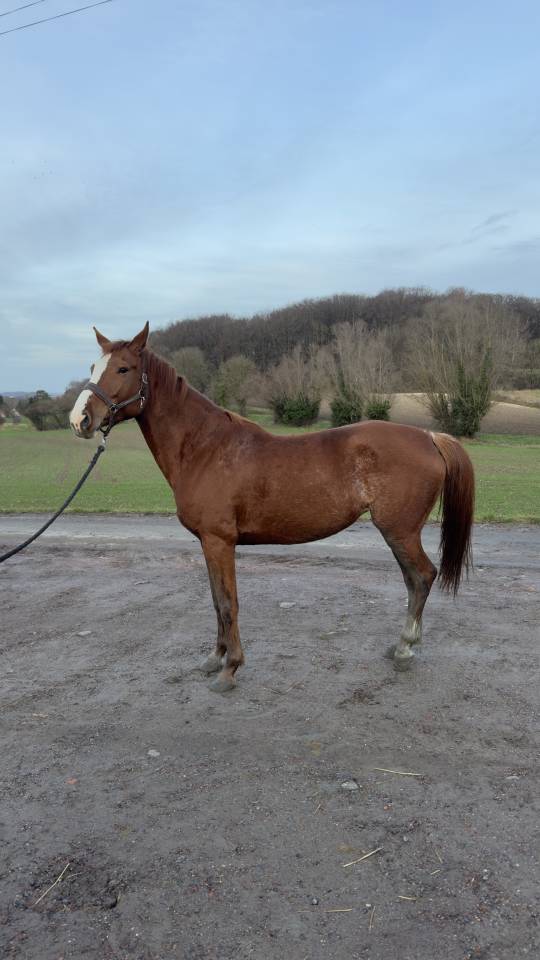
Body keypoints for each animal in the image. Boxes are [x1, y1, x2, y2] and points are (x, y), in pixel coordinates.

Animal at [69, 323, 474, 693]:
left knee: (422, 577)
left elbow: (228, 604)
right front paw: (214, 658)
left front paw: (230, 669)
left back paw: (405, 648)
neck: (204, 448)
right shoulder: (207, 543)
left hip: (399, 531)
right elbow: (216, 601)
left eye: (123, 368)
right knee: (413, 580)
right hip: (399, 533)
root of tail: (429, 437)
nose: (80, 420)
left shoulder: (219, 541)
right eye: (93, 366)